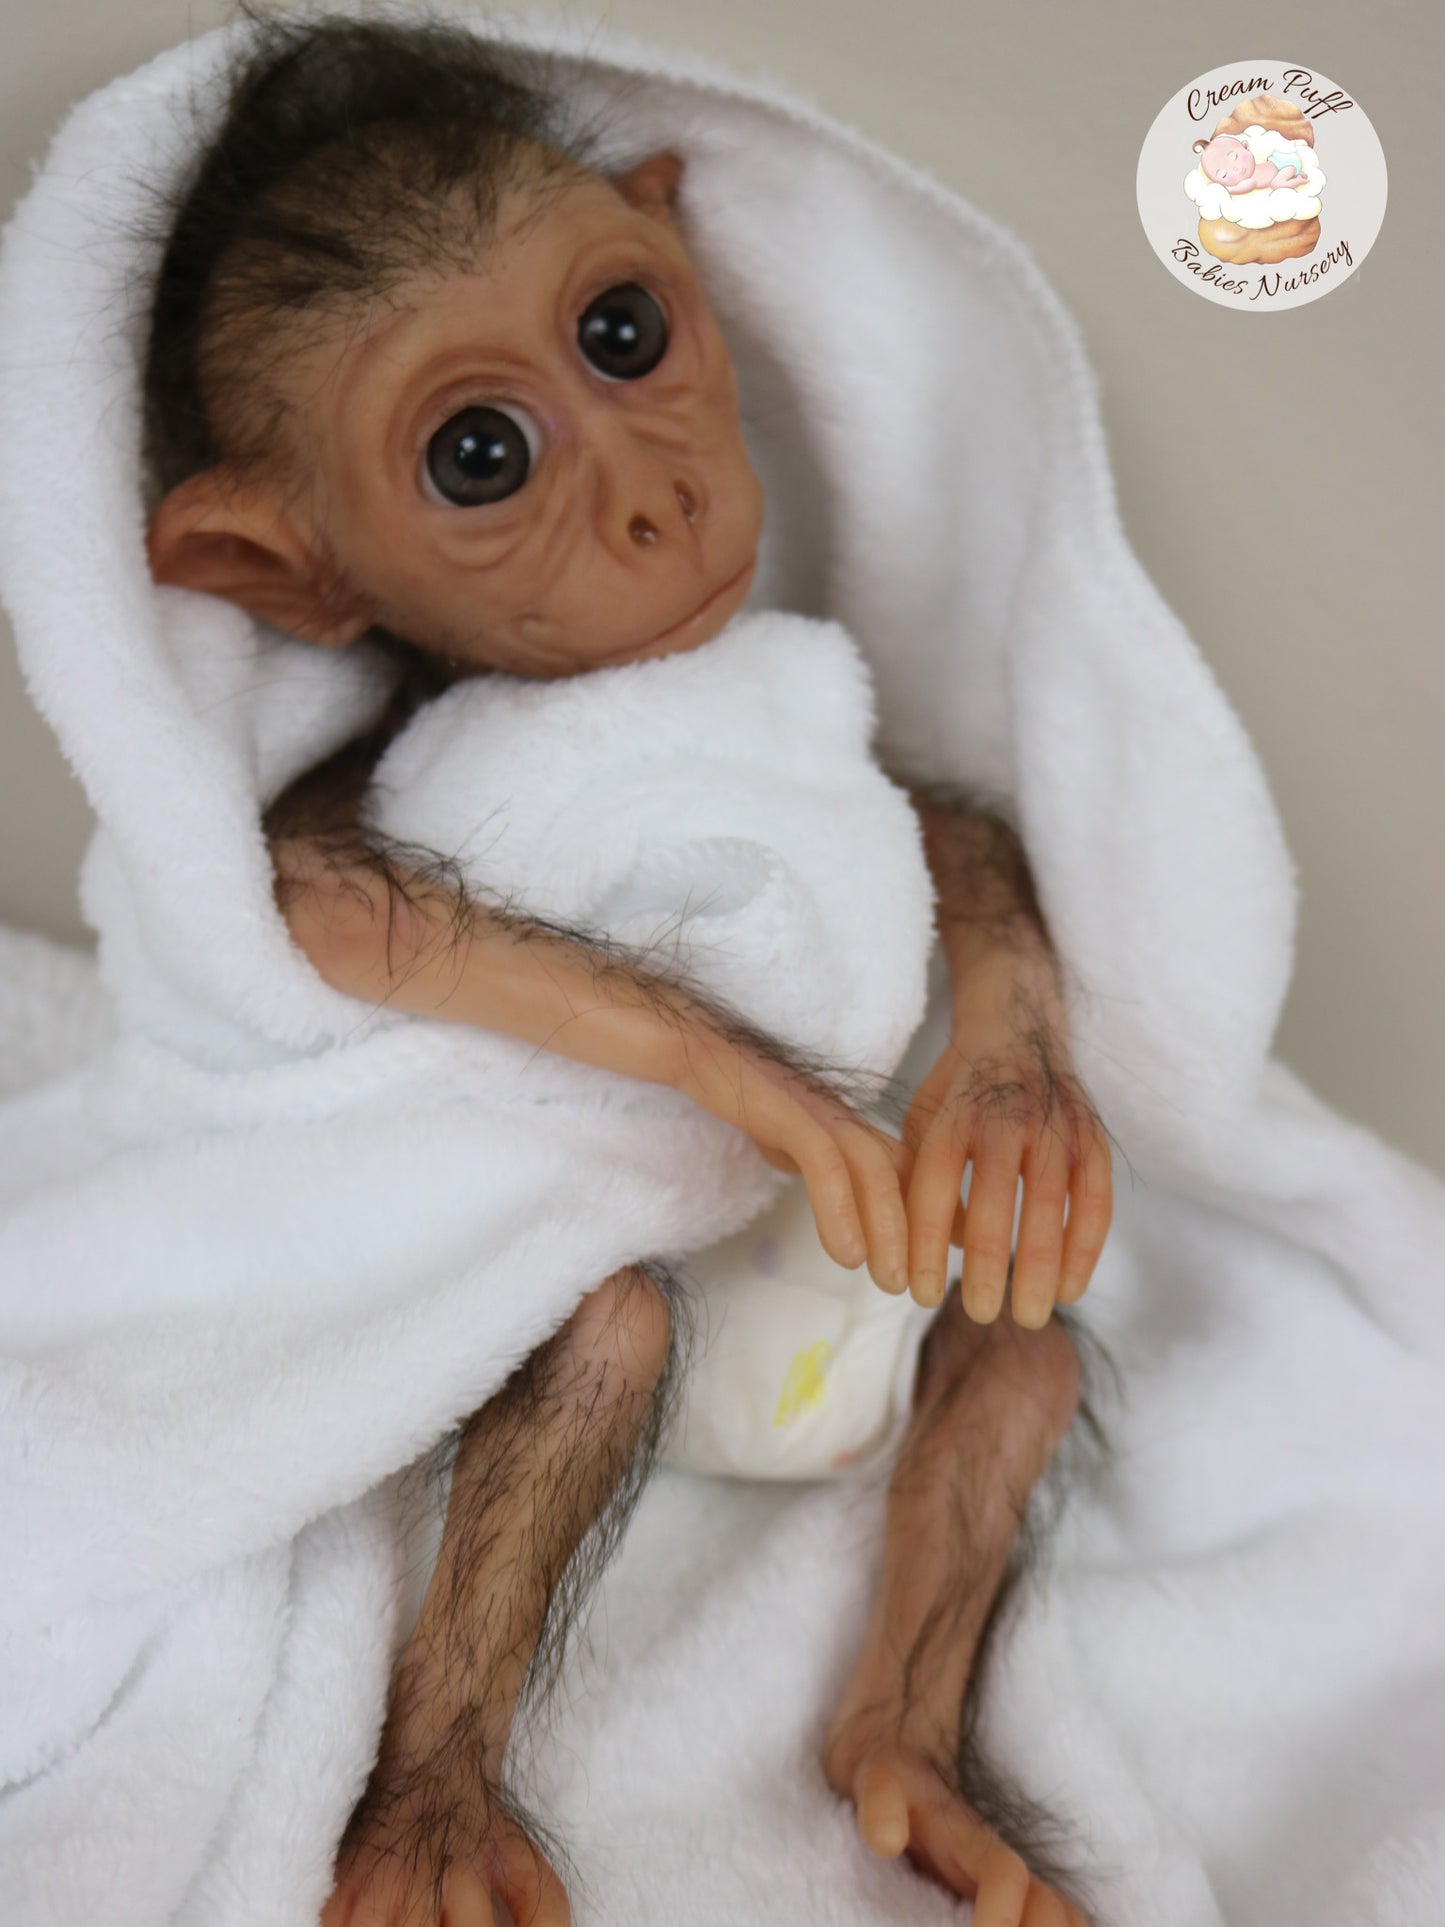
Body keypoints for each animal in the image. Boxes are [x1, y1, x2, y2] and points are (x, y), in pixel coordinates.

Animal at [140, 13, 1115, 1925]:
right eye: (478, 456)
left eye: (622, 332)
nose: (661, 500)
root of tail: (786, 1443)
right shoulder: (365, 764)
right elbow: (328, 894)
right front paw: (786, 1099)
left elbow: (949, 830)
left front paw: (1012, 1095)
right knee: (602, 1329)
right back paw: (431, 1814)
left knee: (1015, 1342)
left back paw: (912, 1772)